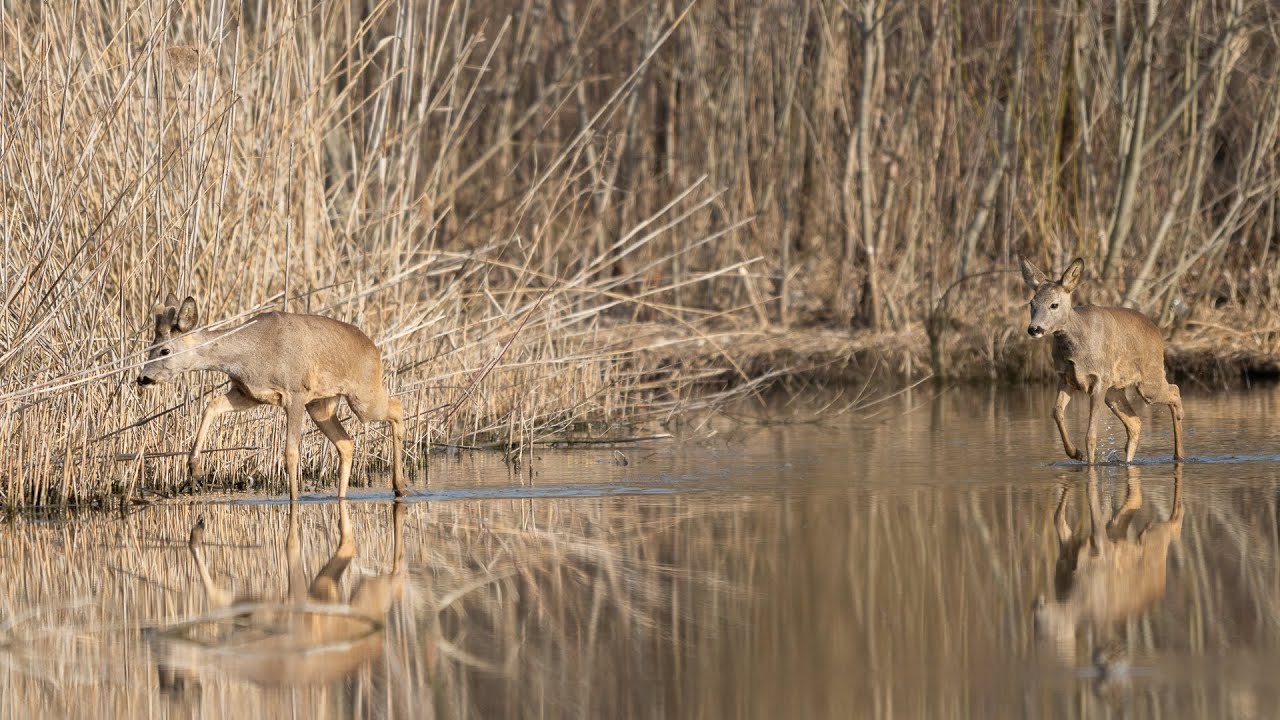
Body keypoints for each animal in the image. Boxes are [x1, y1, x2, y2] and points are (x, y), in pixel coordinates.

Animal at [136, 294, 406, 500]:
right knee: (347, 443)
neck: (248, 354)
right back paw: (346, 496)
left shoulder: (295, 393)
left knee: (396, 407)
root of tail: (374, 349)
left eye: (165, 350)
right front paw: (194, 469)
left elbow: (290, 452)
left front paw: (293, 499)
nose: (142, 378)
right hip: (321, 405)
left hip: (362, 397)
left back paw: (400, 486)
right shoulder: (248, 394)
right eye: (149, 347)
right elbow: (211, 405)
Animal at [151, 501, 406, 694]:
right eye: (163, 678)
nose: (160, 656)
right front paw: (197, 529)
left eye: (174, 679)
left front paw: (198, 529)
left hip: (365, 590)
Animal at [1018, 256, 1185, 464]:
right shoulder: (1065, 377)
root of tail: (1157, 329)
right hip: (1115, 390)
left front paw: (1089, 463)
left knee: (1174, 391)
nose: (1034, 329)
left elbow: (1091, 434)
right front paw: (1075, 453)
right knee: (1135, 421)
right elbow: (1056, 411)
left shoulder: (1099, 379)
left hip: (1148, 380)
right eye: (1031, 303)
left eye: (1054, 304)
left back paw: (1179, 454)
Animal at [1033, 466, 1184, 669]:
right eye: (1035, 626)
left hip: (1153, 535)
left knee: (1173, 523)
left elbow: (1093, 504)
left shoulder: (1101, 545)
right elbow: (1057, 518)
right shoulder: (1067, 549)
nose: (1036, 605)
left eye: (1049, 629)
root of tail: (1160, 583)